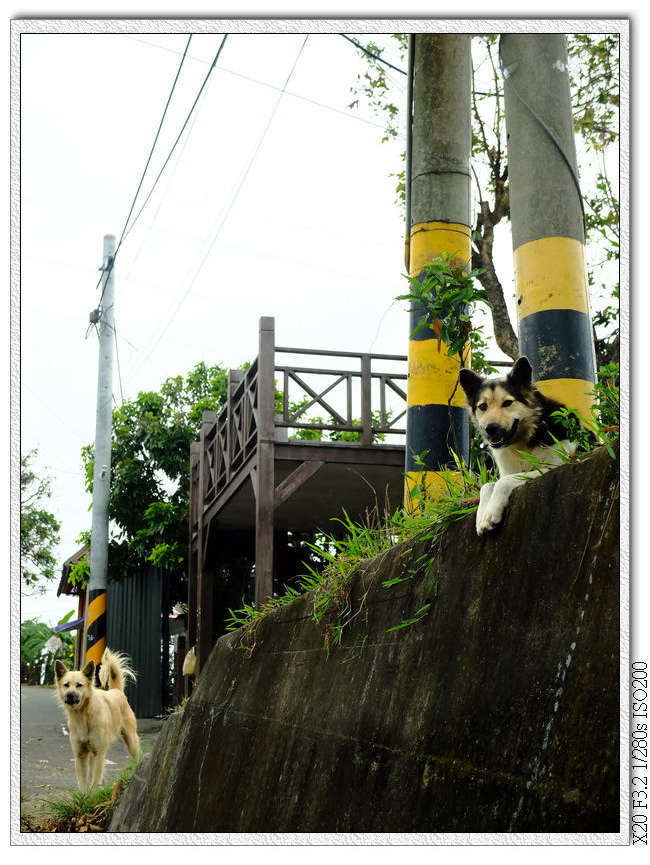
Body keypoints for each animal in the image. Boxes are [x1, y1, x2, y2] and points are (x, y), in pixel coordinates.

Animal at [54, 648, 139, 788]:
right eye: (66, 685)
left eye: (79, 685)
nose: (70, 695)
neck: (84, 715)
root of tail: (117, 691)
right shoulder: (80, 755)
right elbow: (83, 784)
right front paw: (84, 794)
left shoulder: (99, 754)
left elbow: (94, 782)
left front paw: (93, 793)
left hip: (131, 741)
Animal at [458, 356, 580, 532]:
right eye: (483, 406)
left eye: (508, 403)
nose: (490, 428)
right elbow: (486, 485)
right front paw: (481, 515)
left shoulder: (556, 465)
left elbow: (503, 482)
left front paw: (491, 512)